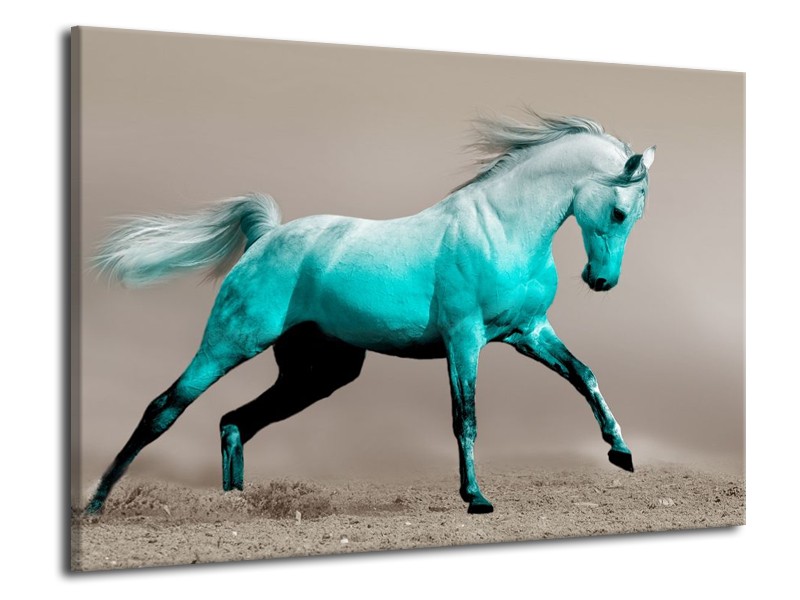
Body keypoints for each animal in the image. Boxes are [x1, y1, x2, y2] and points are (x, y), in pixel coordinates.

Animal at [84, 112, 655, 515]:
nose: (601, 281)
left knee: (235, 420)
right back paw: (96, 504)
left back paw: (236, 505)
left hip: (317, 374)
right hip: (231, 341)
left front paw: (621, 453)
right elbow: (466, 418)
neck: (501, 230)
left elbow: (585, 376)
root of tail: (267, 235)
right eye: (619, 211)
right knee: (164, 407)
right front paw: (475, 498)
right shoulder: (464, 339)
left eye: (635, 216)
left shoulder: (528, 332)